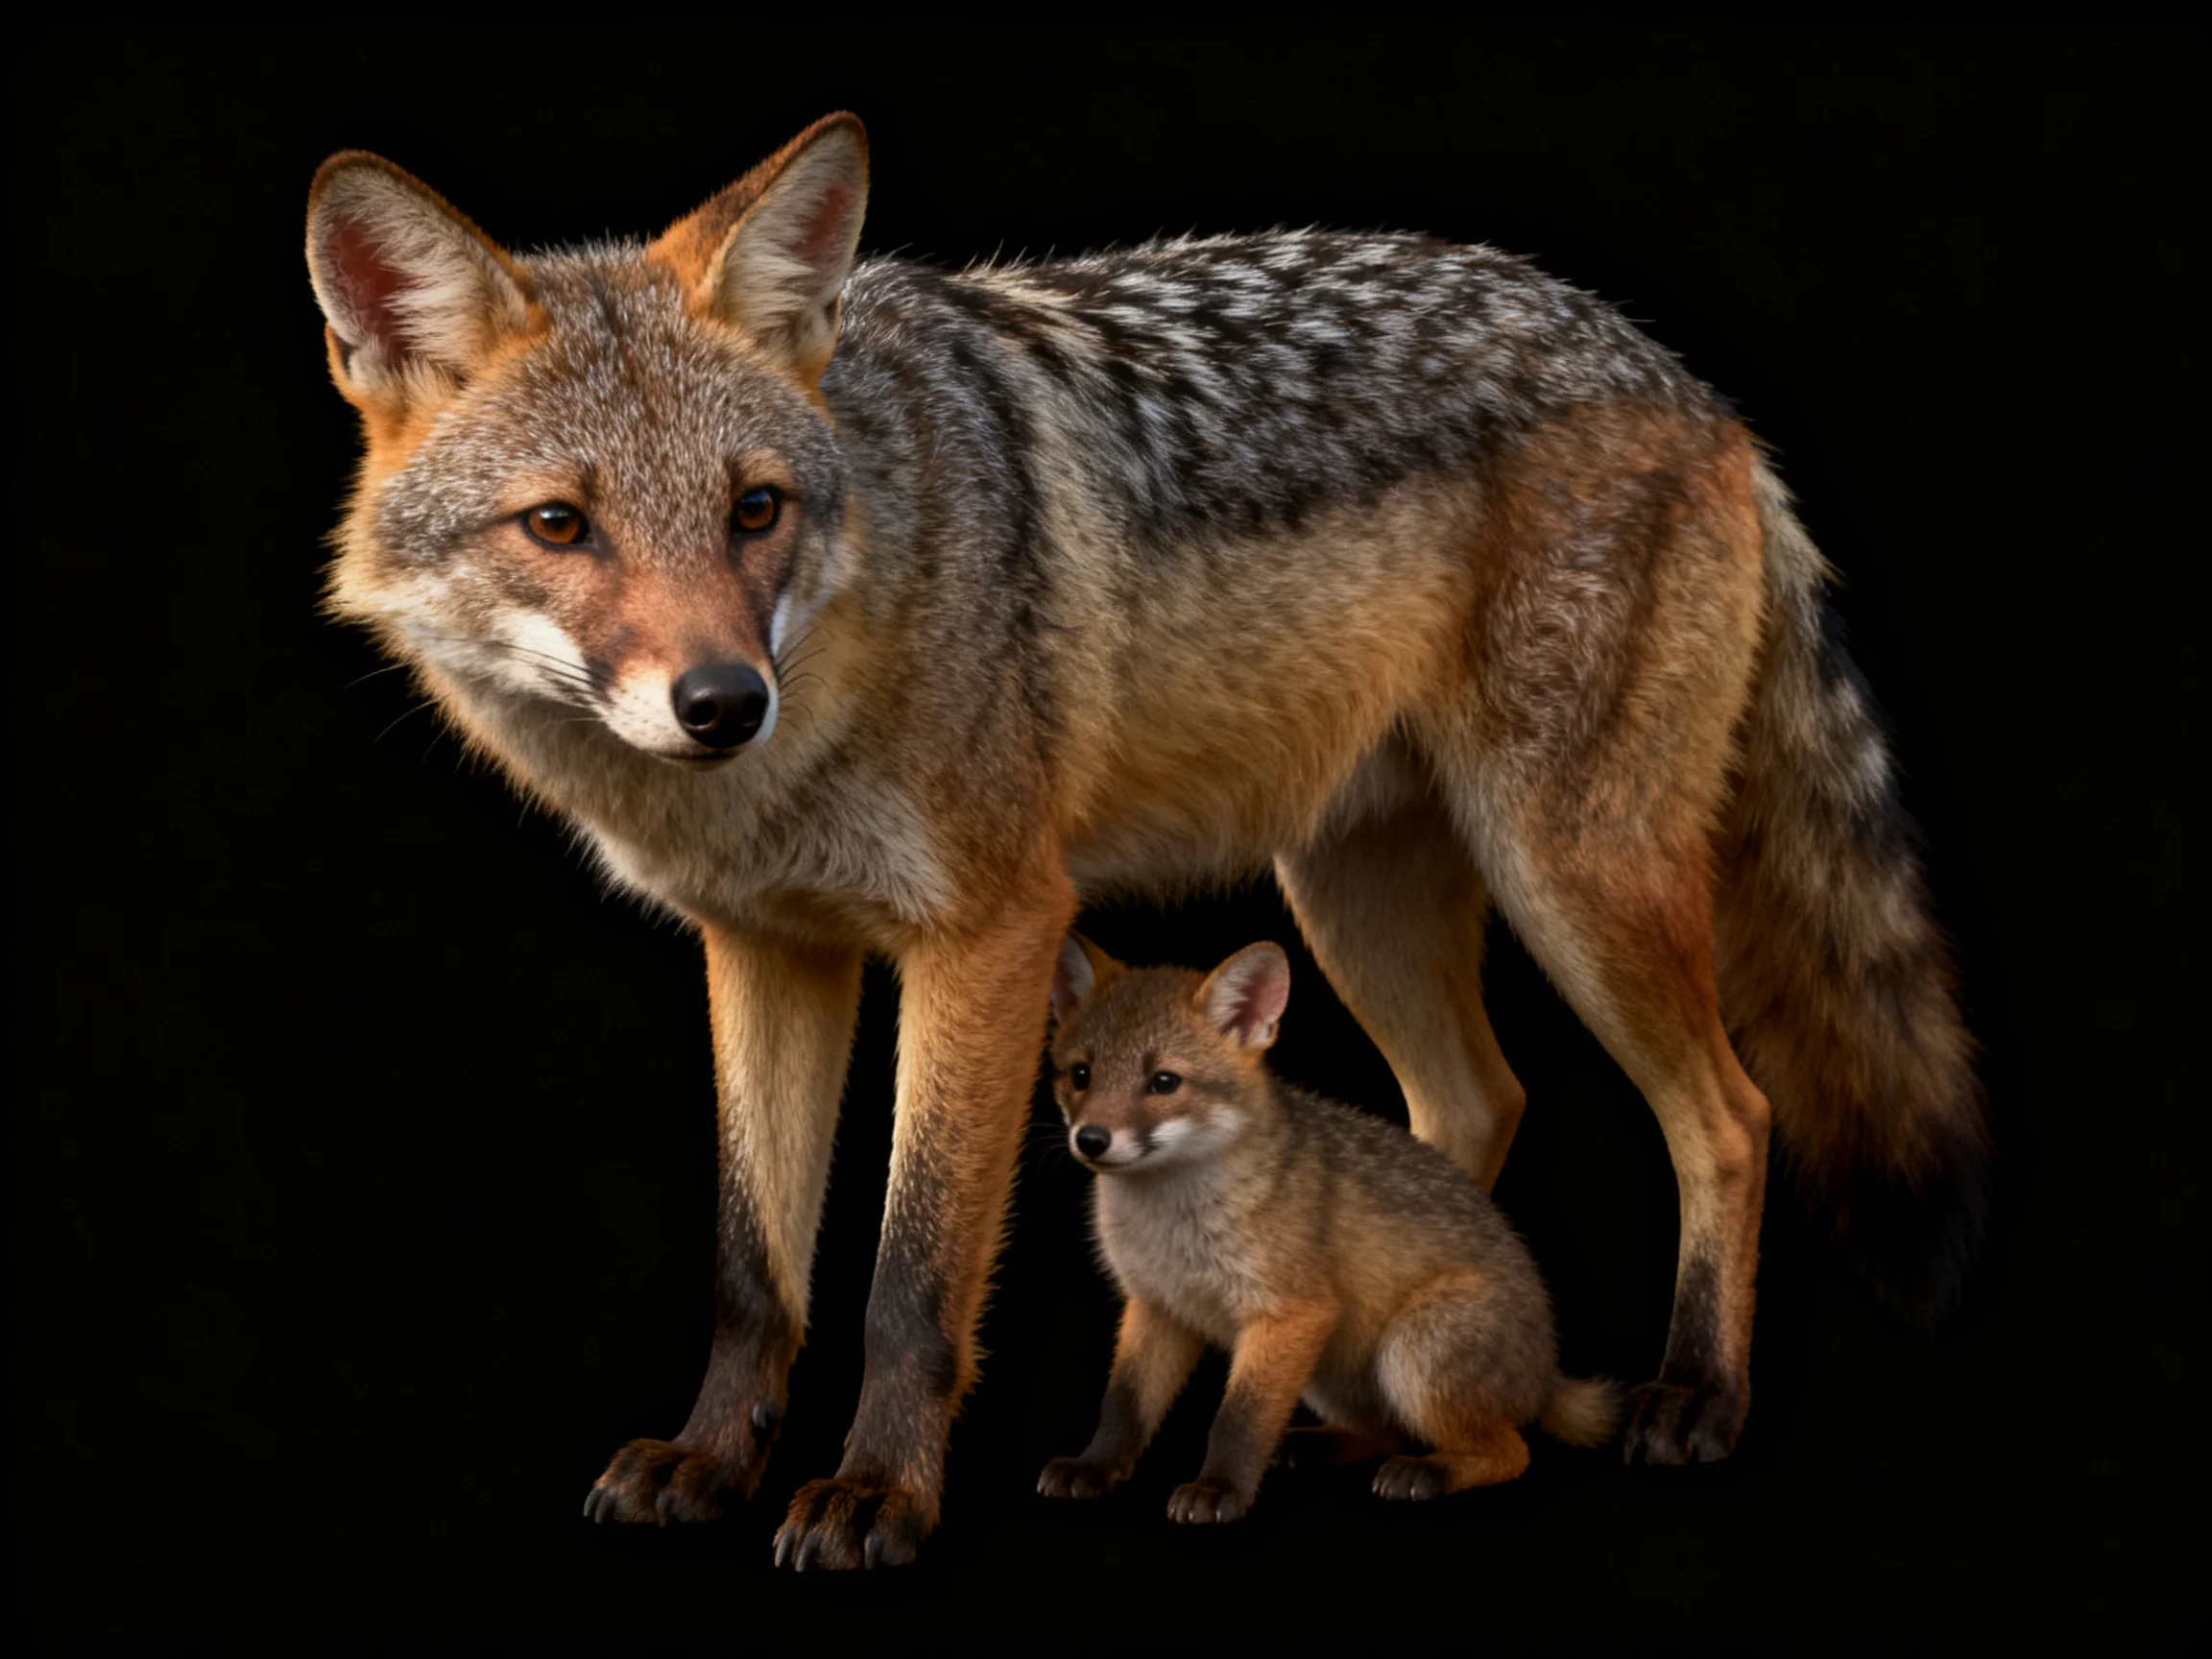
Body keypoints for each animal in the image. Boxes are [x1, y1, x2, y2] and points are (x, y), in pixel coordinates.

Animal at [1039, 936, 1620, 1523]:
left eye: (1163, 1082)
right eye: (1081, 1075)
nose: (1091, 1140)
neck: (1173, 1225)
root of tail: (1546, 1369)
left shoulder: (1291, 1313)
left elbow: (1239, 1419)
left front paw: (1219, 1488)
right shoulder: (1158, 1304)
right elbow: (1123, 1404)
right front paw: (1094, 1466)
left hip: (1412, 1352)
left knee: (1509, 1450)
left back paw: (1429, 1471)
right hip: (1329, 1374)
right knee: (1387, 1431)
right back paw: (1318, 1443)